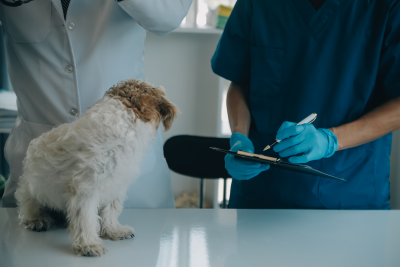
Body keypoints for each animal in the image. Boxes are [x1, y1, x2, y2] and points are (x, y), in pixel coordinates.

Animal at [15, 79, 178, 258]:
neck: (123, 121)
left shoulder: (116, 184)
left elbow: (110, 211)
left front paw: (113, 230)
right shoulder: (85, 189)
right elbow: (85, 219)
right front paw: (88, 244)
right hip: (30, 188)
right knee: (27, 204)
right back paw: (36, 219)